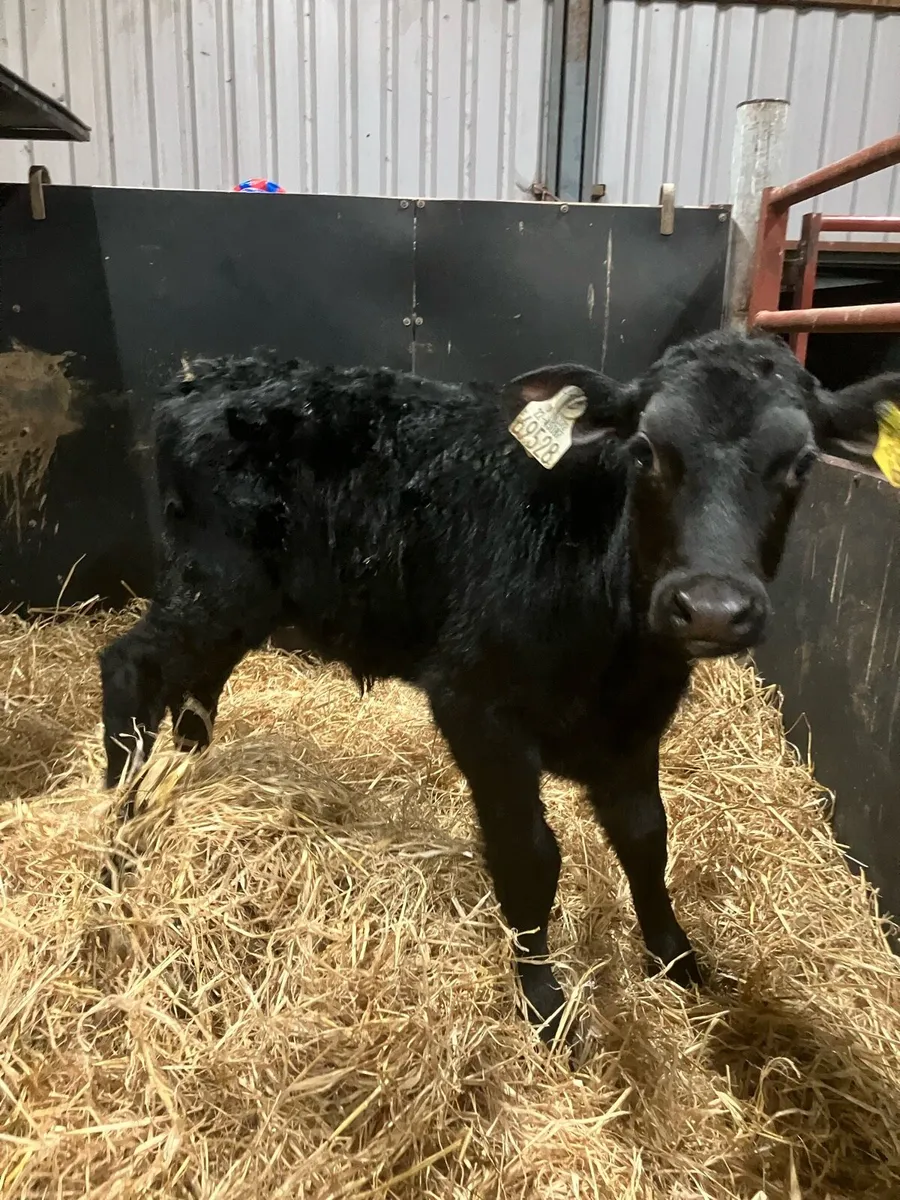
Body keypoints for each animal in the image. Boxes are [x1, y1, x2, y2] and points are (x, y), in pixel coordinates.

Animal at [99, 330, 900, 1047]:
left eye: (801, 463)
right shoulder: (474, 704)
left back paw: (178, 785)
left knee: (196, 693)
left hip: (244, 603)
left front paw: (675, 957)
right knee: (129, 666)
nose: (709, 607)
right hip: (214, 582)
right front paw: (545, 1002)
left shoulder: (631, 727)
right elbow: (531, 856)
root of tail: (206, 375)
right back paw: (117, 824)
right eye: (645, 451)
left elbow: (647, 837)